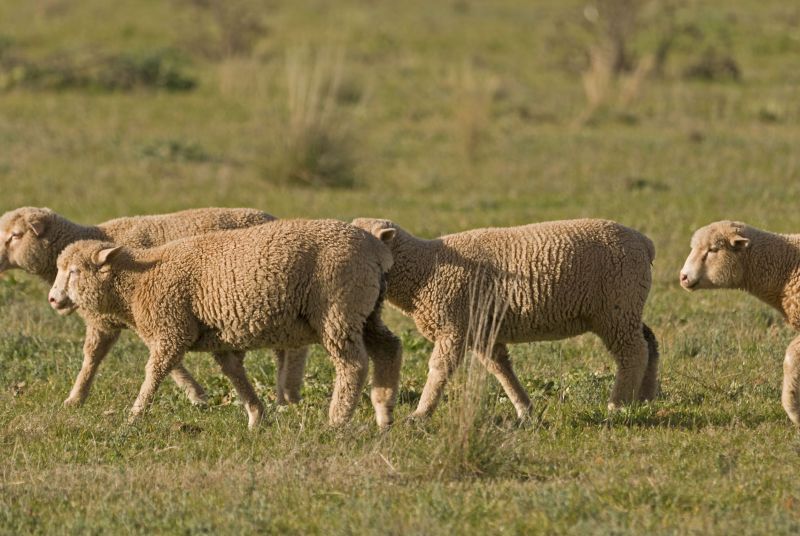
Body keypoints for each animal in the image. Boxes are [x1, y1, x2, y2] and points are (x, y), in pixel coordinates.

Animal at [0, 207, 306, 408]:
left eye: (15, 235)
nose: (54, 300)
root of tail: (273, 218)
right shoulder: (109, 321)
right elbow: (92, 358)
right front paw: (76, 398)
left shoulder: (147, 311)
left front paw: (196, 394)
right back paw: (284, 395)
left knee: (290, 348)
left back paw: (287, 396)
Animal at [49, 220, 400, 430]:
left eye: (74, 272)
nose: (53, 299)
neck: (137, 282)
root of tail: (375, 250)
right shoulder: (218, 339)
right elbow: (235, 375)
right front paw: (256, 416)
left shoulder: (172, 330)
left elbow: (154, 373)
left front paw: (135, 414)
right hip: (367, 312)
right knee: (390, 348)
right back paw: (384, 411)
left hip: (337, 310)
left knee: (353, 364)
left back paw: (338, 419)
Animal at [350, 218, 656, 418]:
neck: (425, 269)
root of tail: (644, 243)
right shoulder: (481, 329)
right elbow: (500, 368)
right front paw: (525, 410)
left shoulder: (454, 326)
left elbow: (439, 370)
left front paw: (420, 414)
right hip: (626, 307)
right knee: (650, 341)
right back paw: (646, 394)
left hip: (617, 307)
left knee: (633, 353)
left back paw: (617, 405)